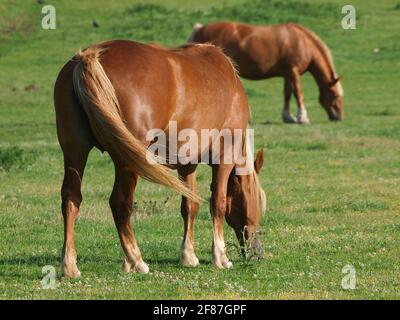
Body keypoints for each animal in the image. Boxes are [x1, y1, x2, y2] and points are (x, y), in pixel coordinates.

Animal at [53, 40, 266, 278]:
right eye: (258, 201)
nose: (258, 252)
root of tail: (90, 57)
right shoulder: (224, 158)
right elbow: (218, 203)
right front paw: (220, 257)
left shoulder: (187, 164)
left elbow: (190, 205)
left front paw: (188, 256)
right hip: (127, 160)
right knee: (120, 203)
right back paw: (136, 261)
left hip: (75, 151)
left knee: (71, 198)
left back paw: (70, 265)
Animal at [190, 21, 344, 124]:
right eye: (335, 95)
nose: (339, 117)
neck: (303, 42)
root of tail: (200, 29)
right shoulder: (293, 71)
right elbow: (298, 93)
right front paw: (302, 117)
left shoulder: (287, 74)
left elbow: (287, 94)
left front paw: (288, 117)